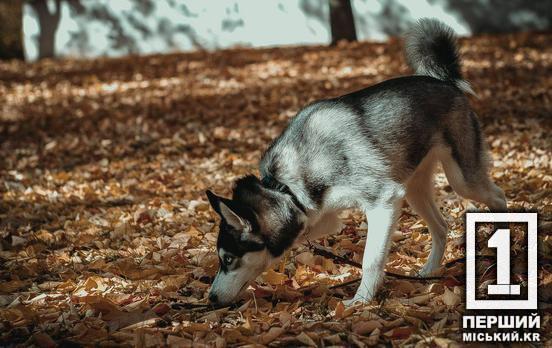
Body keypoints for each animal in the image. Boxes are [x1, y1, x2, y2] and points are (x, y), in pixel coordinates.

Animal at [206, 19, 504, 308]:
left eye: (228, 258)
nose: (210, 298)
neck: (285, 187)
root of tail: (444, 81)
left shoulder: (383, 201)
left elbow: (370, 259)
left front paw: (361, 300)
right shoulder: (321, 217)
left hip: (462, 180)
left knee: (498, 197)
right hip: (414, 191)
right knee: (441, 227)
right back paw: (429, 271)